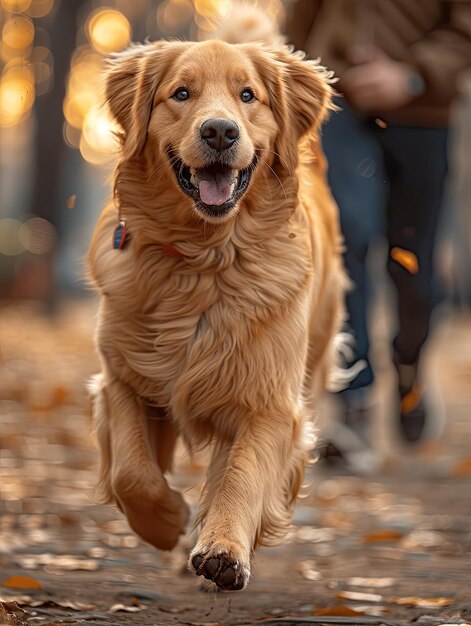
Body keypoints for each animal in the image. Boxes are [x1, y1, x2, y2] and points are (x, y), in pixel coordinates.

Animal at [87, 39, 346, 588]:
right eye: (181, 93)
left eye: (247, 95)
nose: (221, 131)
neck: (203, 258)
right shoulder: (122, 377)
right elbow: (132, 473)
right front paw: (168, 521)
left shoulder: (269, 401)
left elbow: (242, 475)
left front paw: (224, 548)